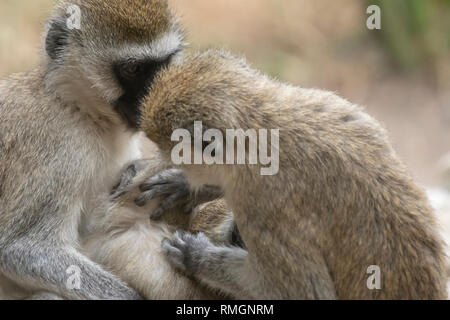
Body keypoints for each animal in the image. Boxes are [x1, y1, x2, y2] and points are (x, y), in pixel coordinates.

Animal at [0, 0, 186, 300]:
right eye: (134, 70)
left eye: (162, 64)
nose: (159, 94)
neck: (77, 107)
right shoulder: (62, 152)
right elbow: (23, 248)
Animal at [135, 50, 448, 300]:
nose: (183, 170)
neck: (262, 123)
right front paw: (182, 186)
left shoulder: (264, 204)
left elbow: (306, 293)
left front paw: (196, 257)